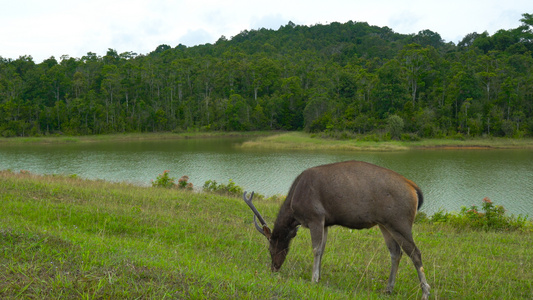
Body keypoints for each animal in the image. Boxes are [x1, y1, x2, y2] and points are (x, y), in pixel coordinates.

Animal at [243, 161, 430, 300]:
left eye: (270, 247)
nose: (274, 268)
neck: (294, 208)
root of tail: (415, 190)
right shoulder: (326, 222)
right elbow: (322, 249)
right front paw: (319, 276)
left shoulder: (315, 217)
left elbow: (316, 249)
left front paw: (313, 279)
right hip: (384, 224)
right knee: (395, 252)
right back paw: (388, 288)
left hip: (400, 222)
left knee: (415, 252)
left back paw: (425, 292)